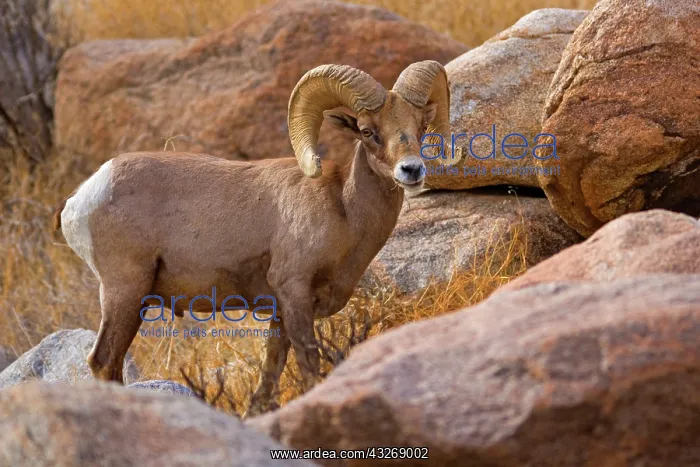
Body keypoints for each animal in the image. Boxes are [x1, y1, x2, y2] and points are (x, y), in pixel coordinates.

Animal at [53, 60, 454, 416]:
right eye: (369, 131)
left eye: (421, 125)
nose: (412, 170)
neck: (342, 207)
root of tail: (82, 197)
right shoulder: (294, 292)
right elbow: (309, 365)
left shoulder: (279, 311)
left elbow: (271, 372)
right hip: (125, 291)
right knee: (104, 360)